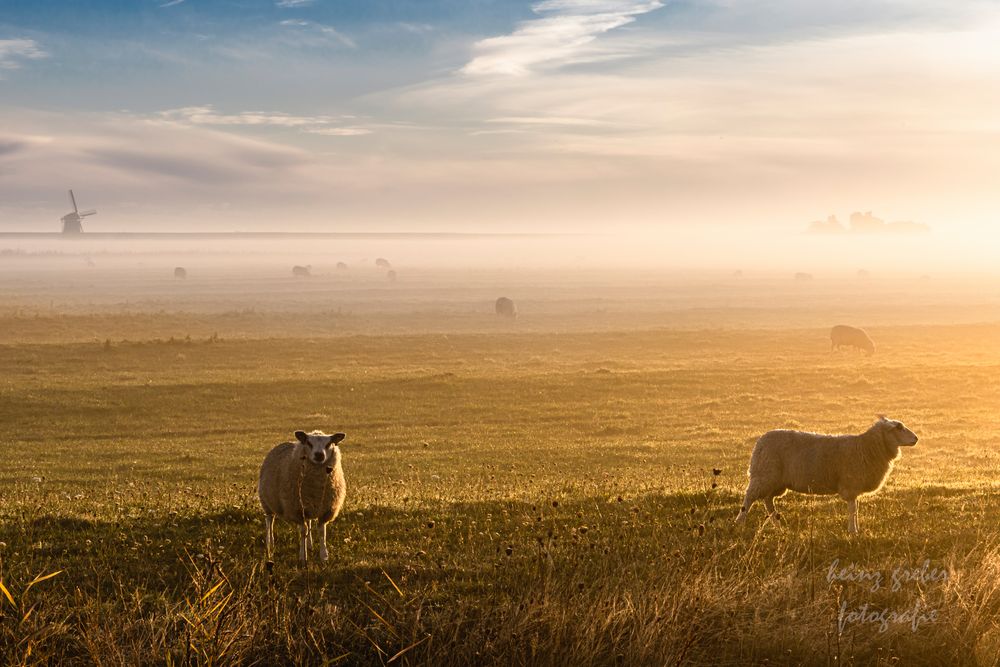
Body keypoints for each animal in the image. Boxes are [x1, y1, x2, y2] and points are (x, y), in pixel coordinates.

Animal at [258, 430, 348, 568]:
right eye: (308, 443)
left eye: (329, 444)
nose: (319, 455)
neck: (316, 488)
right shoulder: (297, 510)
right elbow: (302, 531)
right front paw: (303, 557)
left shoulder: (325, 510)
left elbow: (321, 532)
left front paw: (324, 557)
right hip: (267, 501)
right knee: (269, 521)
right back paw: (270, 544)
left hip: (308, 506)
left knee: (309, 522)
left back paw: (310, 545)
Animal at [736, 418, 916, 536]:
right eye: (899, 428)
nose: (916, 438)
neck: (867, 448)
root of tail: (760, 441)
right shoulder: (851, 485)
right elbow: (853, 509)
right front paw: (853, 531)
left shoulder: (854, 487)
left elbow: (855, 509)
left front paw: (856, 529)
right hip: (764, 474)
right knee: (750, 497)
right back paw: (740, 522)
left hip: (776, 481)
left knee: (768, 500)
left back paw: (778, 525)